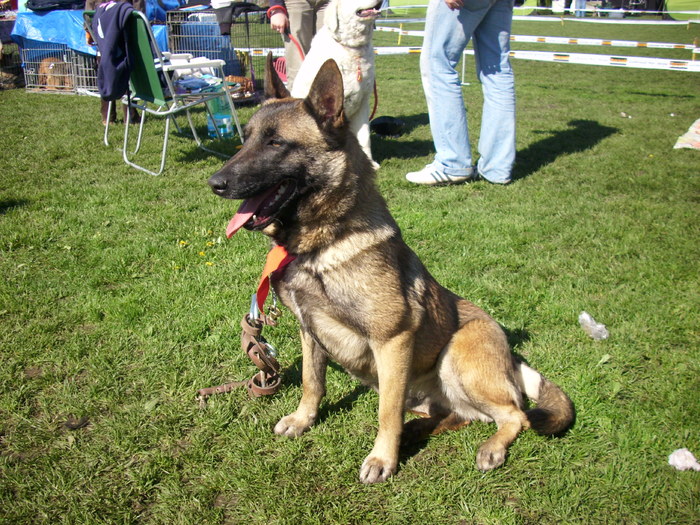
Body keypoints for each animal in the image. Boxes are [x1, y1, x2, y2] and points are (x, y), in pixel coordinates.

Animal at [208, 55, 576, 482]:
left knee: (514, 415)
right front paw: (303, 420)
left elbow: (386, 411)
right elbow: (312, 383)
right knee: (458, 415)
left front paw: (382, 459)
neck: (324, 243)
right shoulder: (309, 332)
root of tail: (511, 357)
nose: (214, 183)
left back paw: (490, 449)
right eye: (246, 138)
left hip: (455, 356)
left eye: (276, 143)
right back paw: (418, 429)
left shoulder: (392, 341)